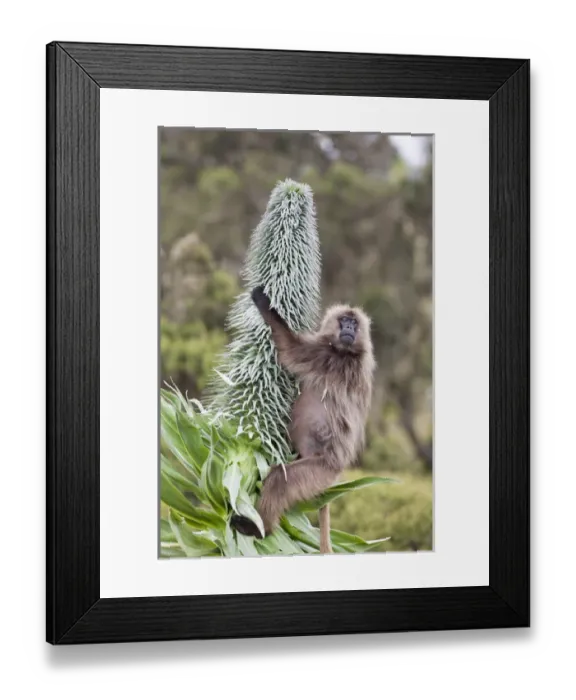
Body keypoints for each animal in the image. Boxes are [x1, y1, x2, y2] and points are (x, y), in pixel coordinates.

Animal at [231, 286, 375, 548]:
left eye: (354, 324)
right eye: (344, 321)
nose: (349, 329)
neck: (348, 352)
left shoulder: (325, 355)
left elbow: (290, 350)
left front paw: (263, 302)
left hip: (320, 470)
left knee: (280, 479)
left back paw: (260, 528)